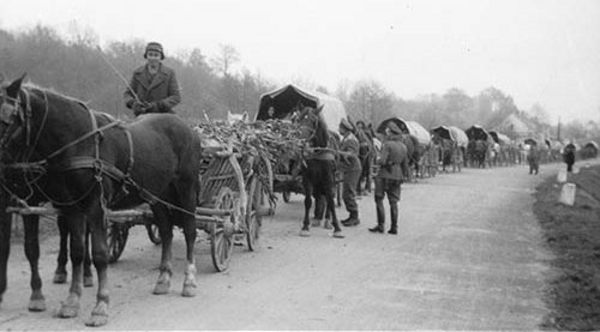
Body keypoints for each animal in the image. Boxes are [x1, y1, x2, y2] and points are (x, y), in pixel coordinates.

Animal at [0, 76, 202, 326]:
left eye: (7, 120)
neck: (77, 142)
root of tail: (189, 129)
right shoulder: (72, 208)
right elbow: (77, 251)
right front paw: (72, 301)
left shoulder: (95, 207)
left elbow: (99, 254)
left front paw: (100, 306)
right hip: (157, 195)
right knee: (165, 232)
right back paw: (163, 278)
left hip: (186, 190)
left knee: (190, 231)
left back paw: (189, 281)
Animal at [294, 106, 344, 239]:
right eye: (299, 119)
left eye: (313, 121)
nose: (300, 141)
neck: (319, 150)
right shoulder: (307, 178)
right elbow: (308, 201)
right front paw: (305, 226)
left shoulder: (329, 179)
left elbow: (330, 201)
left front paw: (337, 228)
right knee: (318, 196)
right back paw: (317, 217)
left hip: (332, 180)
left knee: (329, 197)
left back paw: (327, 219)